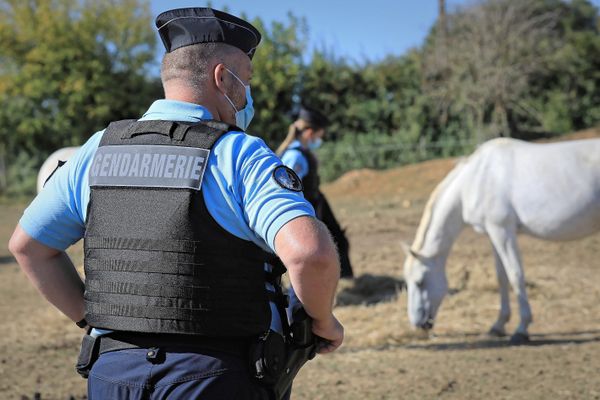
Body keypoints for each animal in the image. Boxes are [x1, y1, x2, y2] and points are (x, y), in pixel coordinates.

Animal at [404, 138, 600, 344]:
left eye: (420, 282)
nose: (417, 323)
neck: (475, 180)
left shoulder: (502, 231)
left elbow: (515, 275)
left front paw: (521, 330)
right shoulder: (494, 234)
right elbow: (501, 277)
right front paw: (498, 326)